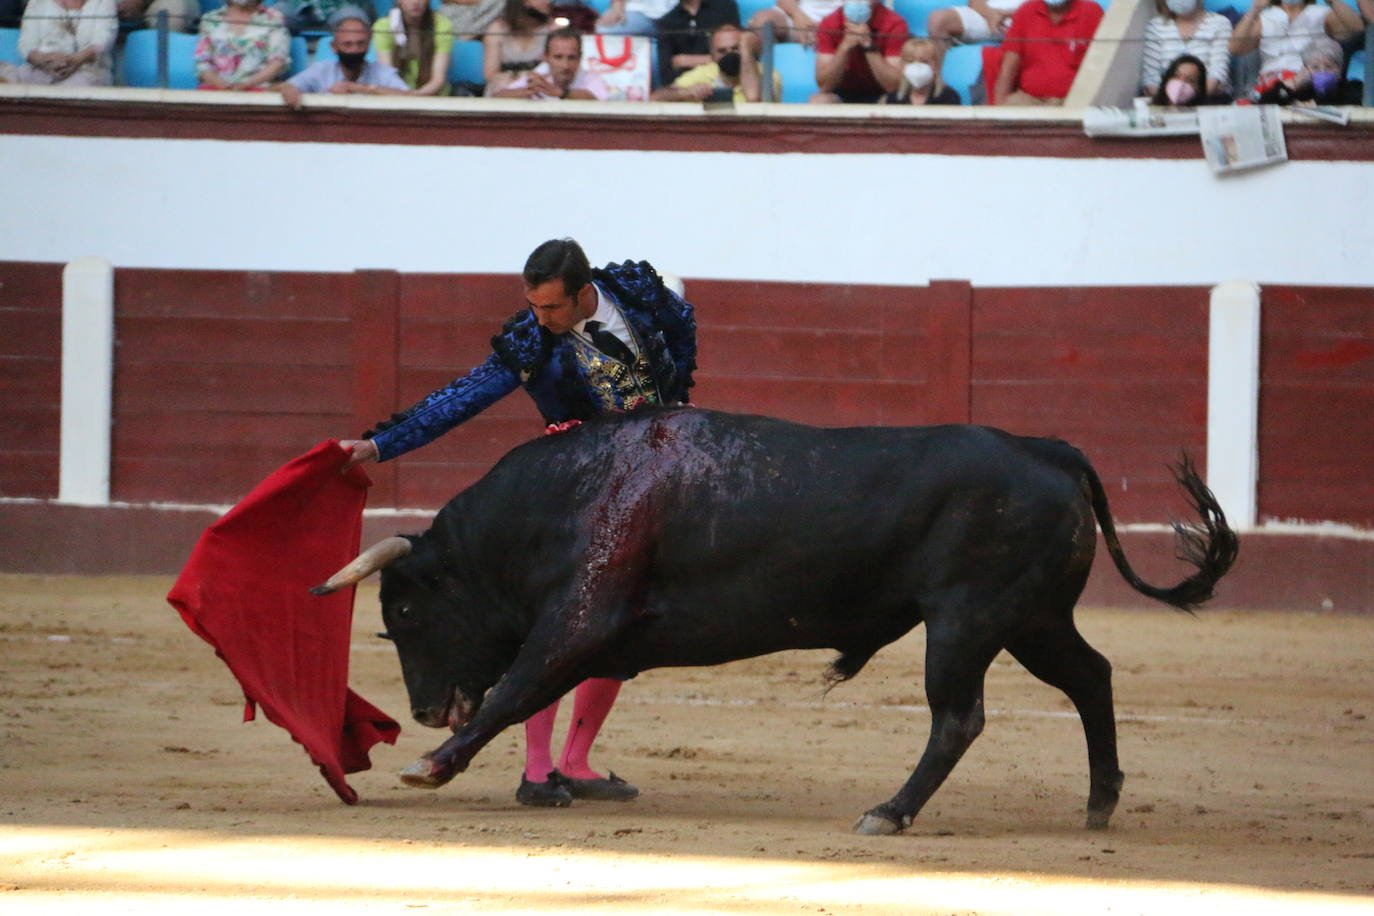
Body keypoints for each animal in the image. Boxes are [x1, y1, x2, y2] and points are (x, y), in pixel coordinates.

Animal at [314, 403, 1236, 834]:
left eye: (404, 608)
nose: (424, 709)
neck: (566, 494)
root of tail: (1050, 449)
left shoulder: (580, 617)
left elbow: (515, 690)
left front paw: (430, 766)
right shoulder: (589, 630)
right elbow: (530, 692)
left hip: (969, 621)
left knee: (959, 717)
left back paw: (889, 812)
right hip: (1031, 619)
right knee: (1091, 677)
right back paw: (1099, 801)